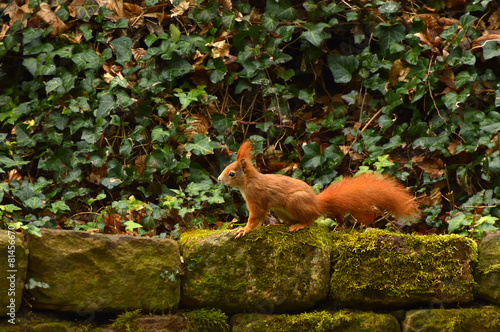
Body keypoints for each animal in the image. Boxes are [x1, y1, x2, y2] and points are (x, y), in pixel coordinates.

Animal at [218, 141, 418, 237]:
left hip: (295, 202)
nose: (219, 179)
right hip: (281, 210)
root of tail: (316, 203)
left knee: (311, 219)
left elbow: (256, 217)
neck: (249, 181)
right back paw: (285, 224)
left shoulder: (256, 197)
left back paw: (298, 225)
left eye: (232, 173)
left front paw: (244, 230)